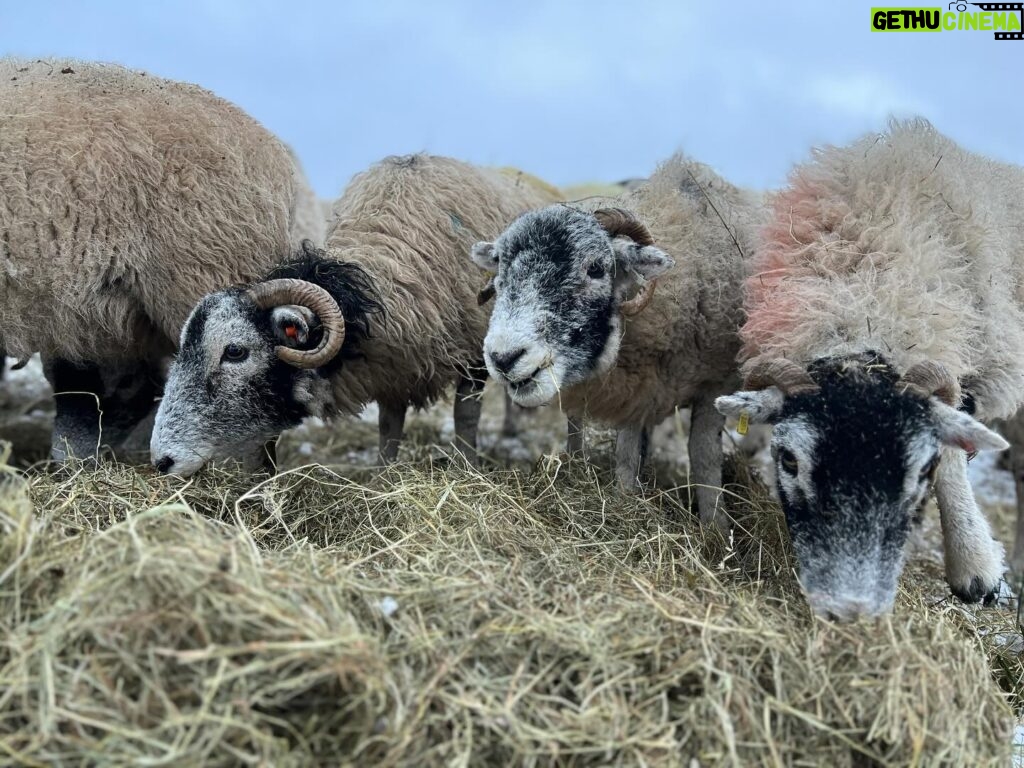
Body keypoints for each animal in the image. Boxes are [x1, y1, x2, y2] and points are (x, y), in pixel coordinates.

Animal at [149, 153, 561, 475]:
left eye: (235, 352)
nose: (161, 461)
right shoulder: (395, 368)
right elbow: (388, 427)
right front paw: (383, 477)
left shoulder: (471, 353)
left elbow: (466, 417)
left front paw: (467, 469)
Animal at [468, 151, 765, 524]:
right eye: (501, 271)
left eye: (596, 268)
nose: (504, 358)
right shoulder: (634, 389)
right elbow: (626, 454)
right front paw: (626, 500)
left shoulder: (715, 382)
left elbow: (704, 456)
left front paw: (715, 525)